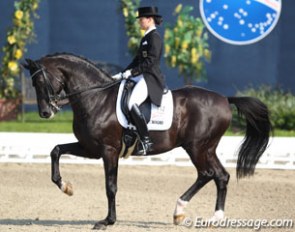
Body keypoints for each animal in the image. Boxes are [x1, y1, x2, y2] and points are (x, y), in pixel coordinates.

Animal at [23, 53, 272, 229]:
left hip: (197, 147)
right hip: (207, 148)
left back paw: (179, 210)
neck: (95, 97)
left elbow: (110, 187)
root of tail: (224, 99)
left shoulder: (108, 150)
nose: (45, 113)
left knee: (207, 173)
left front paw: (107, 221)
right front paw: (66, 187)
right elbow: (56, 150)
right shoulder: (91, 148)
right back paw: (215, 218)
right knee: (221, 176)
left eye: (41, 82)